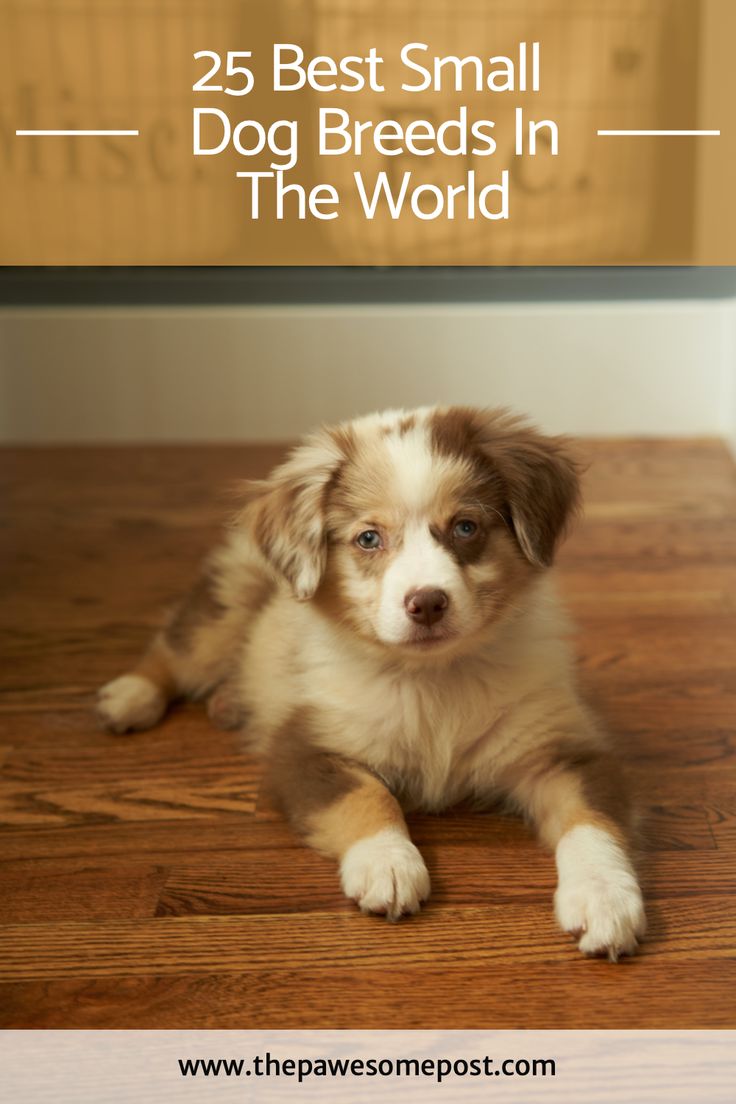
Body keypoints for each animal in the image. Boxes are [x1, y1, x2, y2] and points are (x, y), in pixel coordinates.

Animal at [97, 406, 644, 958]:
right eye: (368, 538)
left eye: (465, 527)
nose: (427, 603)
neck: (433, 679)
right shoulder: (307, 748)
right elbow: (367, 794)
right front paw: (388, 864)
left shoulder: (562, 751)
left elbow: (591, 822)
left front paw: (604, 898)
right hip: (226, 604)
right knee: (176, 647)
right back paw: (129, 697)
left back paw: (227, 702)